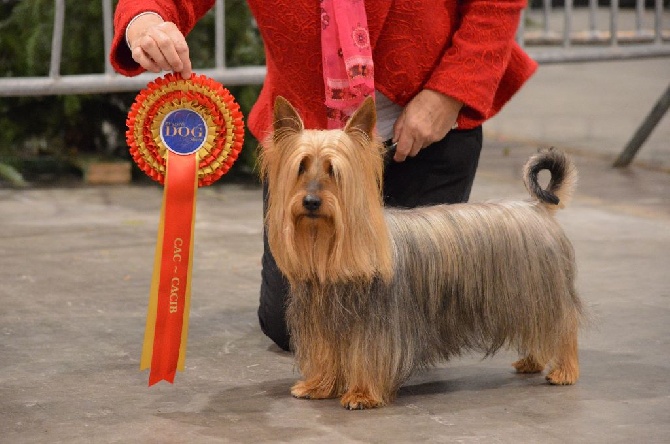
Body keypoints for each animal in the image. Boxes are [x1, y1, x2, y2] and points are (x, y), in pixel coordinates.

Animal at [260, 96, 584, 410]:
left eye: (334, 171)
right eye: (300, 167)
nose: (311, 201)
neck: (331, 248)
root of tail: (537, 208)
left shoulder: (378, 328)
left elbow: (370, 357)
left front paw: (362, 394)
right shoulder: (323, 321)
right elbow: (326, 353)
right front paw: (318, 385)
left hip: (541, 293)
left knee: (562, 327)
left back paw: (564, 371)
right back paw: (533, 361)